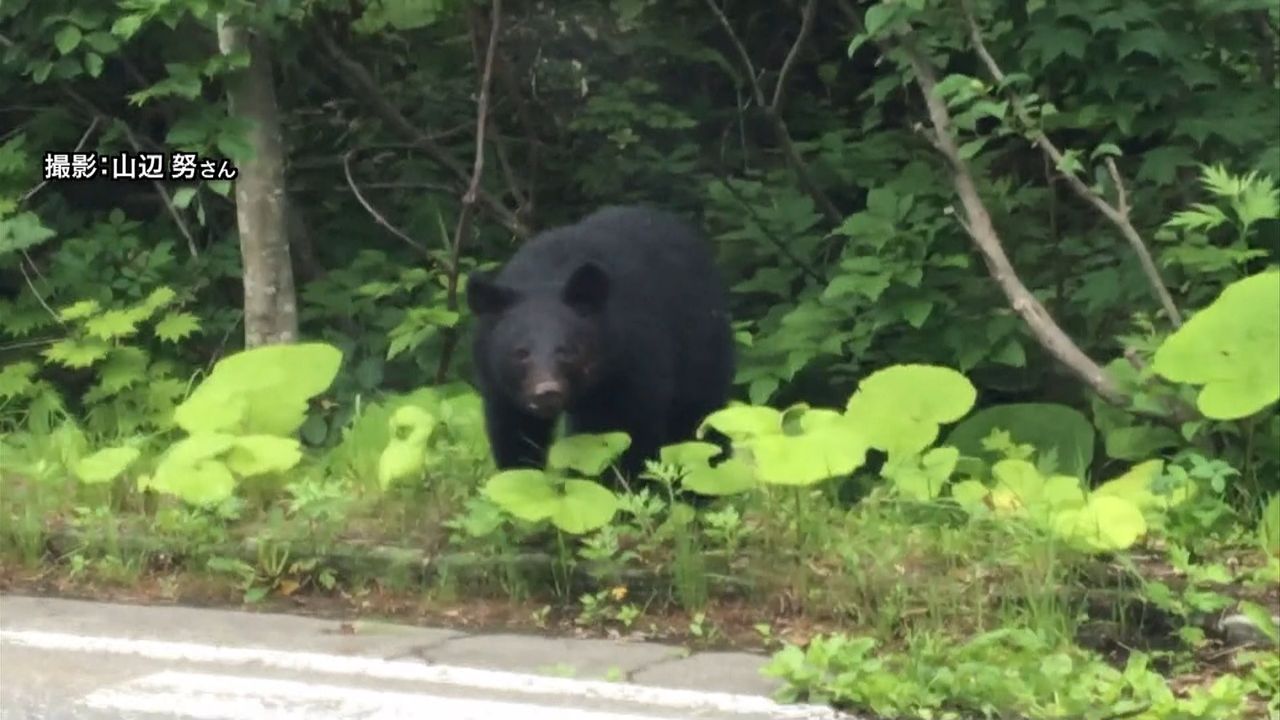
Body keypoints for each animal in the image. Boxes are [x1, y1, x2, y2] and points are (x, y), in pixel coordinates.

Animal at [465, 204, 737, 479]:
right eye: (521, 352)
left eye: (566, 351)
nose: (547, 391)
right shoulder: (500, 387)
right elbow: (514, 434)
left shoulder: (634, 363)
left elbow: (630, 433)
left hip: (702, 347)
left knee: (700, 417)